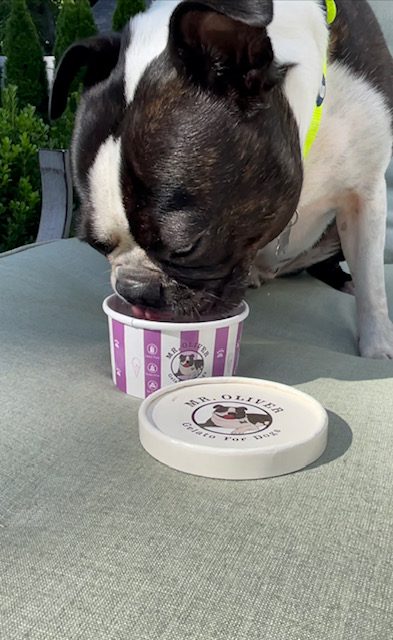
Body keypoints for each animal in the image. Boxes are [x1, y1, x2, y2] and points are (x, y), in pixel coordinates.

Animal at [49, 0, 392, 358]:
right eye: (96, 245)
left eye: (187, 248)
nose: (136, 289)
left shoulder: (366, 194)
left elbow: (372, 282)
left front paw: (377, 350)